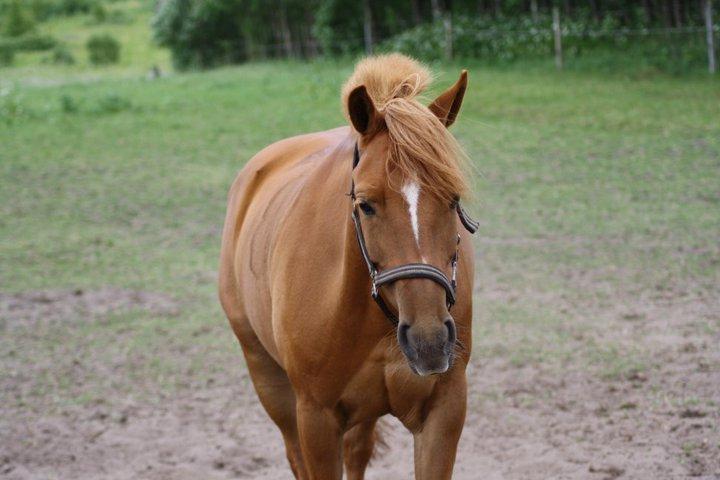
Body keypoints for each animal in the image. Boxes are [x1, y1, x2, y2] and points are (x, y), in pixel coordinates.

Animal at [219, 53, 478, 480]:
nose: (428, 340)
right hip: (269, 380)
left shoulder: (443, 411)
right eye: (366, 204)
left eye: (453, 198)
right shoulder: (316, 419)